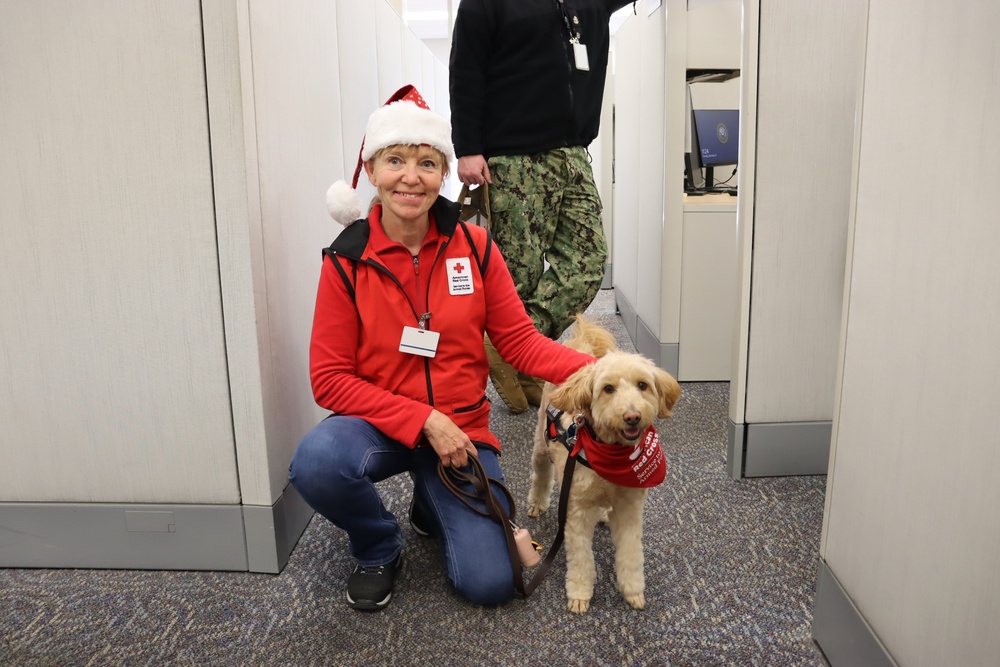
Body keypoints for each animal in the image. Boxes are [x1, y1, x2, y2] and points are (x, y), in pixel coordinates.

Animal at [524, 318, 680, 616]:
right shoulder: (576, 512)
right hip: (541, 444)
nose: (632, 416)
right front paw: (580, 593)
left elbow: (631, 553)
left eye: (643, 385)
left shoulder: (629, 507)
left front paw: (633, 590)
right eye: (608, 389)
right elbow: (581, 558)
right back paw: (537, 503)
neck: (610, 453)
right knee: (541, 474)